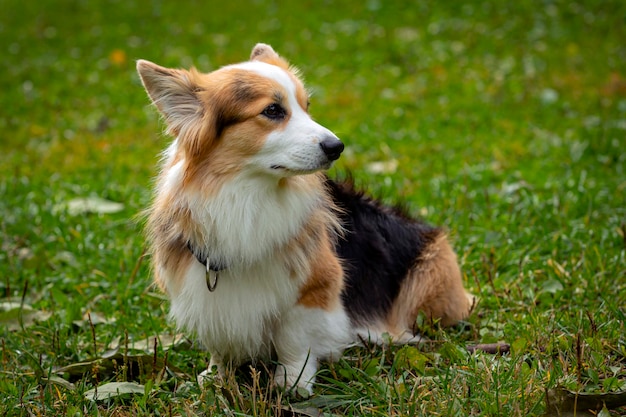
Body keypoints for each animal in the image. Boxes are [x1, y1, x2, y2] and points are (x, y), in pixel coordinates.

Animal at [134, 43, 470, 394]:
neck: (246, 193)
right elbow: (220, 339)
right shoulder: (206, 294)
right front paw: (216, 376)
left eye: (307, 107)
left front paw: (293, 382)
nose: (337, 147)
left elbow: (295, 340)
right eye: (272, 111)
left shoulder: (315, 289)